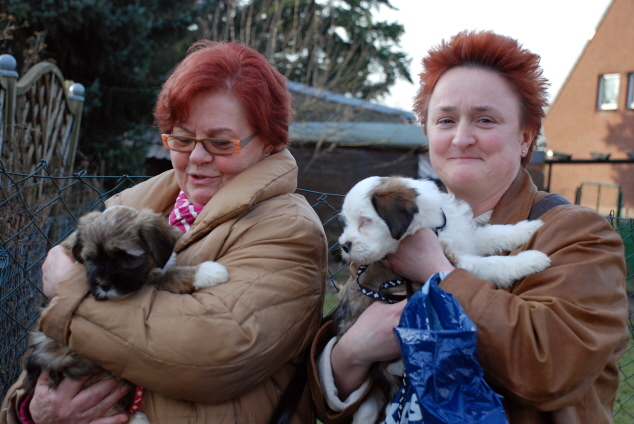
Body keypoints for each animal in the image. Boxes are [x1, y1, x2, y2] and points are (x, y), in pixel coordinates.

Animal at [22, 206, 227, 424]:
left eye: (125, 256)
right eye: (90, 259)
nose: (104, 285)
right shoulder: (142, 282)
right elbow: (164, 276)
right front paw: (205, 271)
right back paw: (134, 418)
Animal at [330, 176, 548, 424]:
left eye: (365, 221)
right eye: (348, 222)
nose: (344, 246)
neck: (429, 225)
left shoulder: (464, 236)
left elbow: (492, 233)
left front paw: (528, 227)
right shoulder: (455, 261)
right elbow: (492, 264)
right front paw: (531, 260)